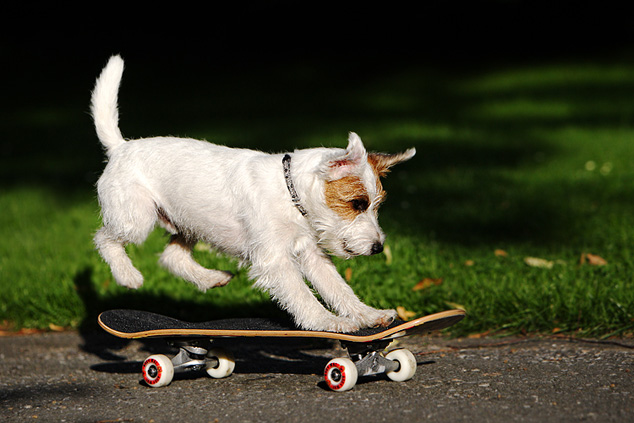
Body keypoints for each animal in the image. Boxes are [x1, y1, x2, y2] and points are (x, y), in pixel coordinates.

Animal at [90, 57, 414, 334]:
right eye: (357, 204)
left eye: (376, 206)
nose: (378, 247)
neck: (290, 193)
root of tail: (121, 147)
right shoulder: (276, 260)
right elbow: (302, 296)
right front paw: (327, 322)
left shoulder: (312, 255)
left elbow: (338, 288)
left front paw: (367, 314)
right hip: (136, 219)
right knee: (104, 239)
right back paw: (127, 275)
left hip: (189, 224)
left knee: (172, 257)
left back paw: (211, 278)